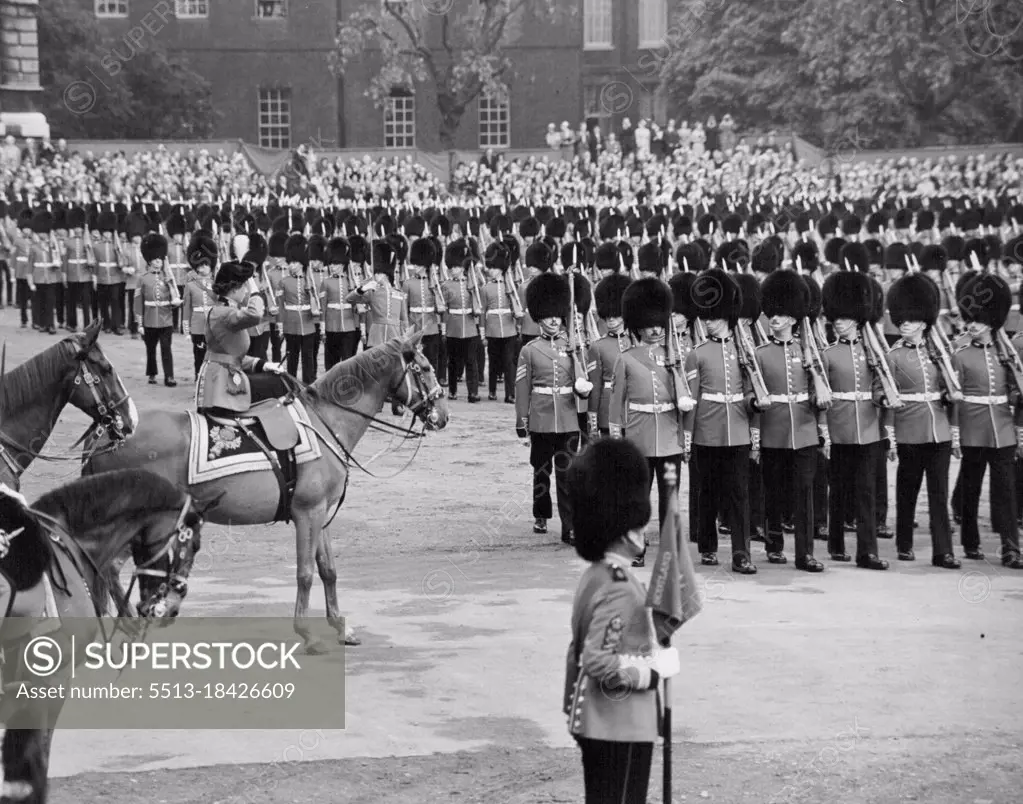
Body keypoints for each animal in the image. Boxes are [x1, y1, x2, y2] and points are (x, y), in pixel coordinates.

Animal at [89, 331, 452, 650]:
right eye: (426, 368)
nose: (444, 417)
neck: (324, 422)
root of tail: (107, 439)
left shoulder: (321, 513)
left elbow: (328, 570)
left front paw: (340, 626)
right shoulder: (307, 513)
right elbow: (305, 573)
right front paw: (308, 634)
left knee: (109, 569)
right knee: (109, 568)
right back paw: (129, 624)